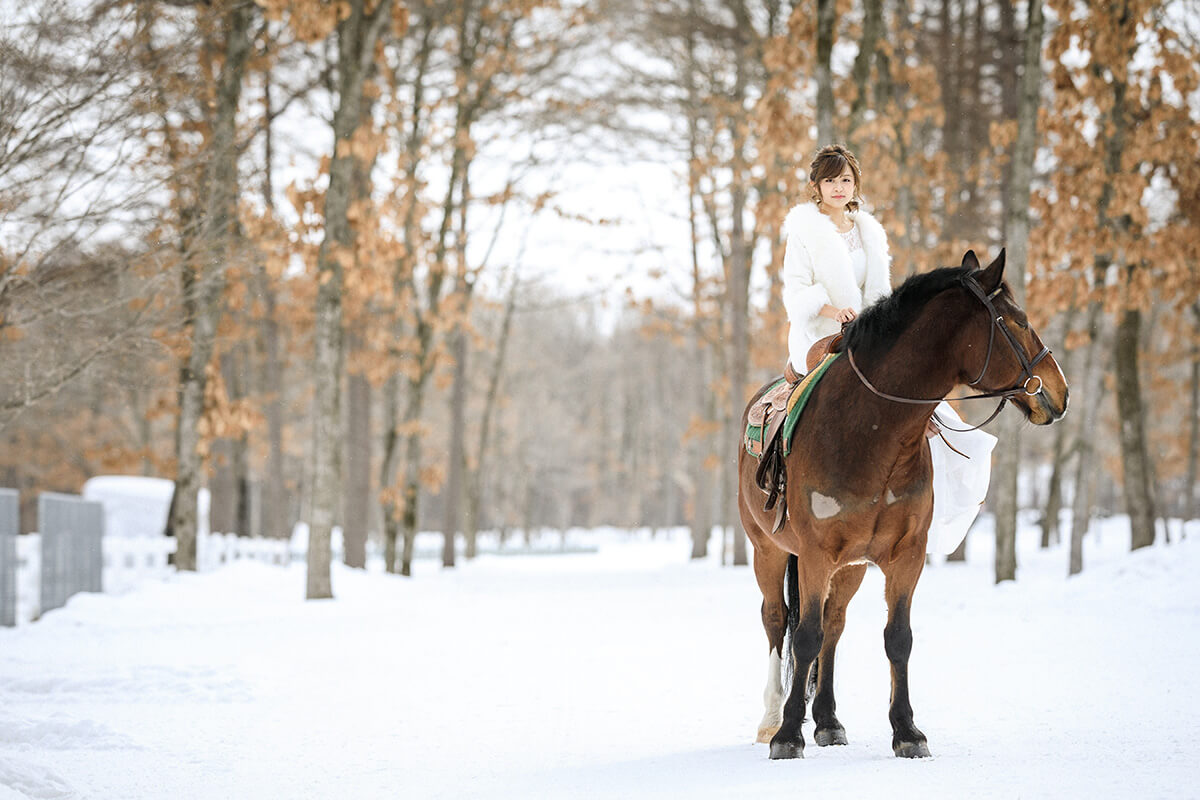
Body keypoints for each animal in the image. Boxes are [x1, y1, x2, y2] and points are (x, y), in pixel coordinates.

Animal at [739, 251, 1070, 762]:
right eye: (1018, 321)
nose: (1060, 391)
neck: (870, 429)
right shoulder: (814, 554)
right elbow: (805, 637)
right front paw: (788, 735)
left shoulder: (906, 554)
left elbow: (897, 638)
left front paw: (907, 730)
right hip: (768, 551)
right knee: (777, 622)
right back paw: (771, 718)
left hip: (851, 566)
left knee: (834, 625)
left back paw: (828, 720)